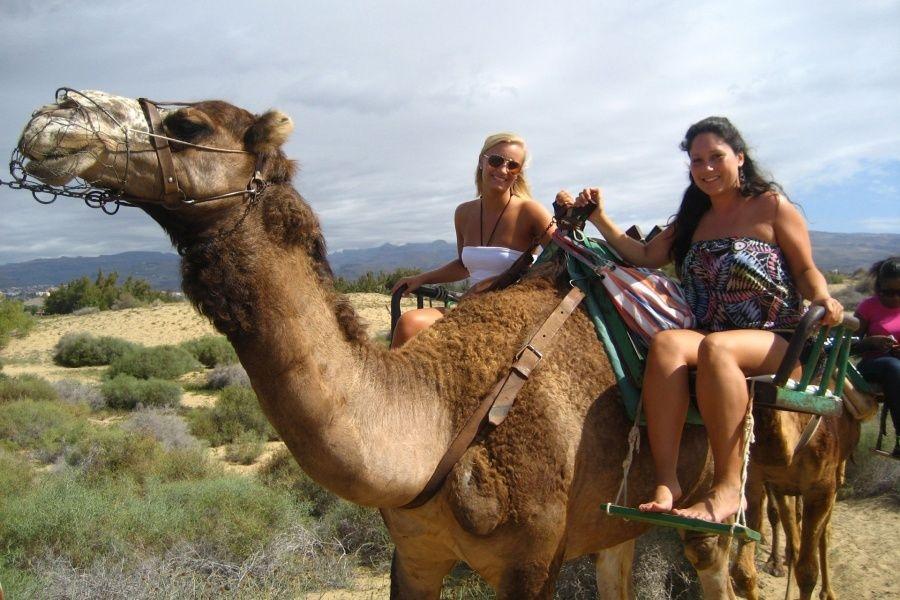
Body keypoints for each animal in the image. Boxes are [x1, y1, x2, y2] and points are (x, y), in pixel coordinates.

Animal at [13, 89, 742, 598]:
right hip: (615, 514)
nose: (54, 115)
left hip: (713, 495)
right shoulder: (414, 554)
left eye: (188, 125)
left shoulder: (534, 561)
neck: (439, 422)